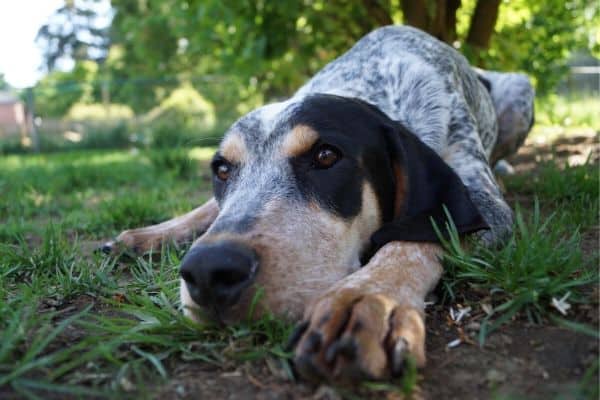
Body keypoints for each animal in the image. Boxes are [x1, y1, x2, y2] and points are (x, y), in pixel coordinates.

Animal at [103, 25, 536, 382]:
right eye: (222, 170)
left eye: (326, 156)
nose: (209, 271)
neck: (373, 81)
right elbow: (210, 210)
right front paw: (154, 233)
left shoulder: (482, 201)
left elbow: (415, 235)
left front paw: (368, 299)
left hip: (520, 92)